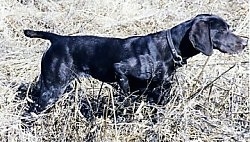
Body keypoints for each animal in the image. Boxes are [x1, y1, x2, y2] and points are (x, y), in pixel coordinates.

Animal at [23, 13, 248, 114]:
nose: (245, 42)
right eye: (223, 30)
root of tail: (58, 39)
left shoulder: (161, 92)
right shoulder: (121, 70)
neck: (170, 48)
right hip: (52, 89)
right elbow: (127, 94)